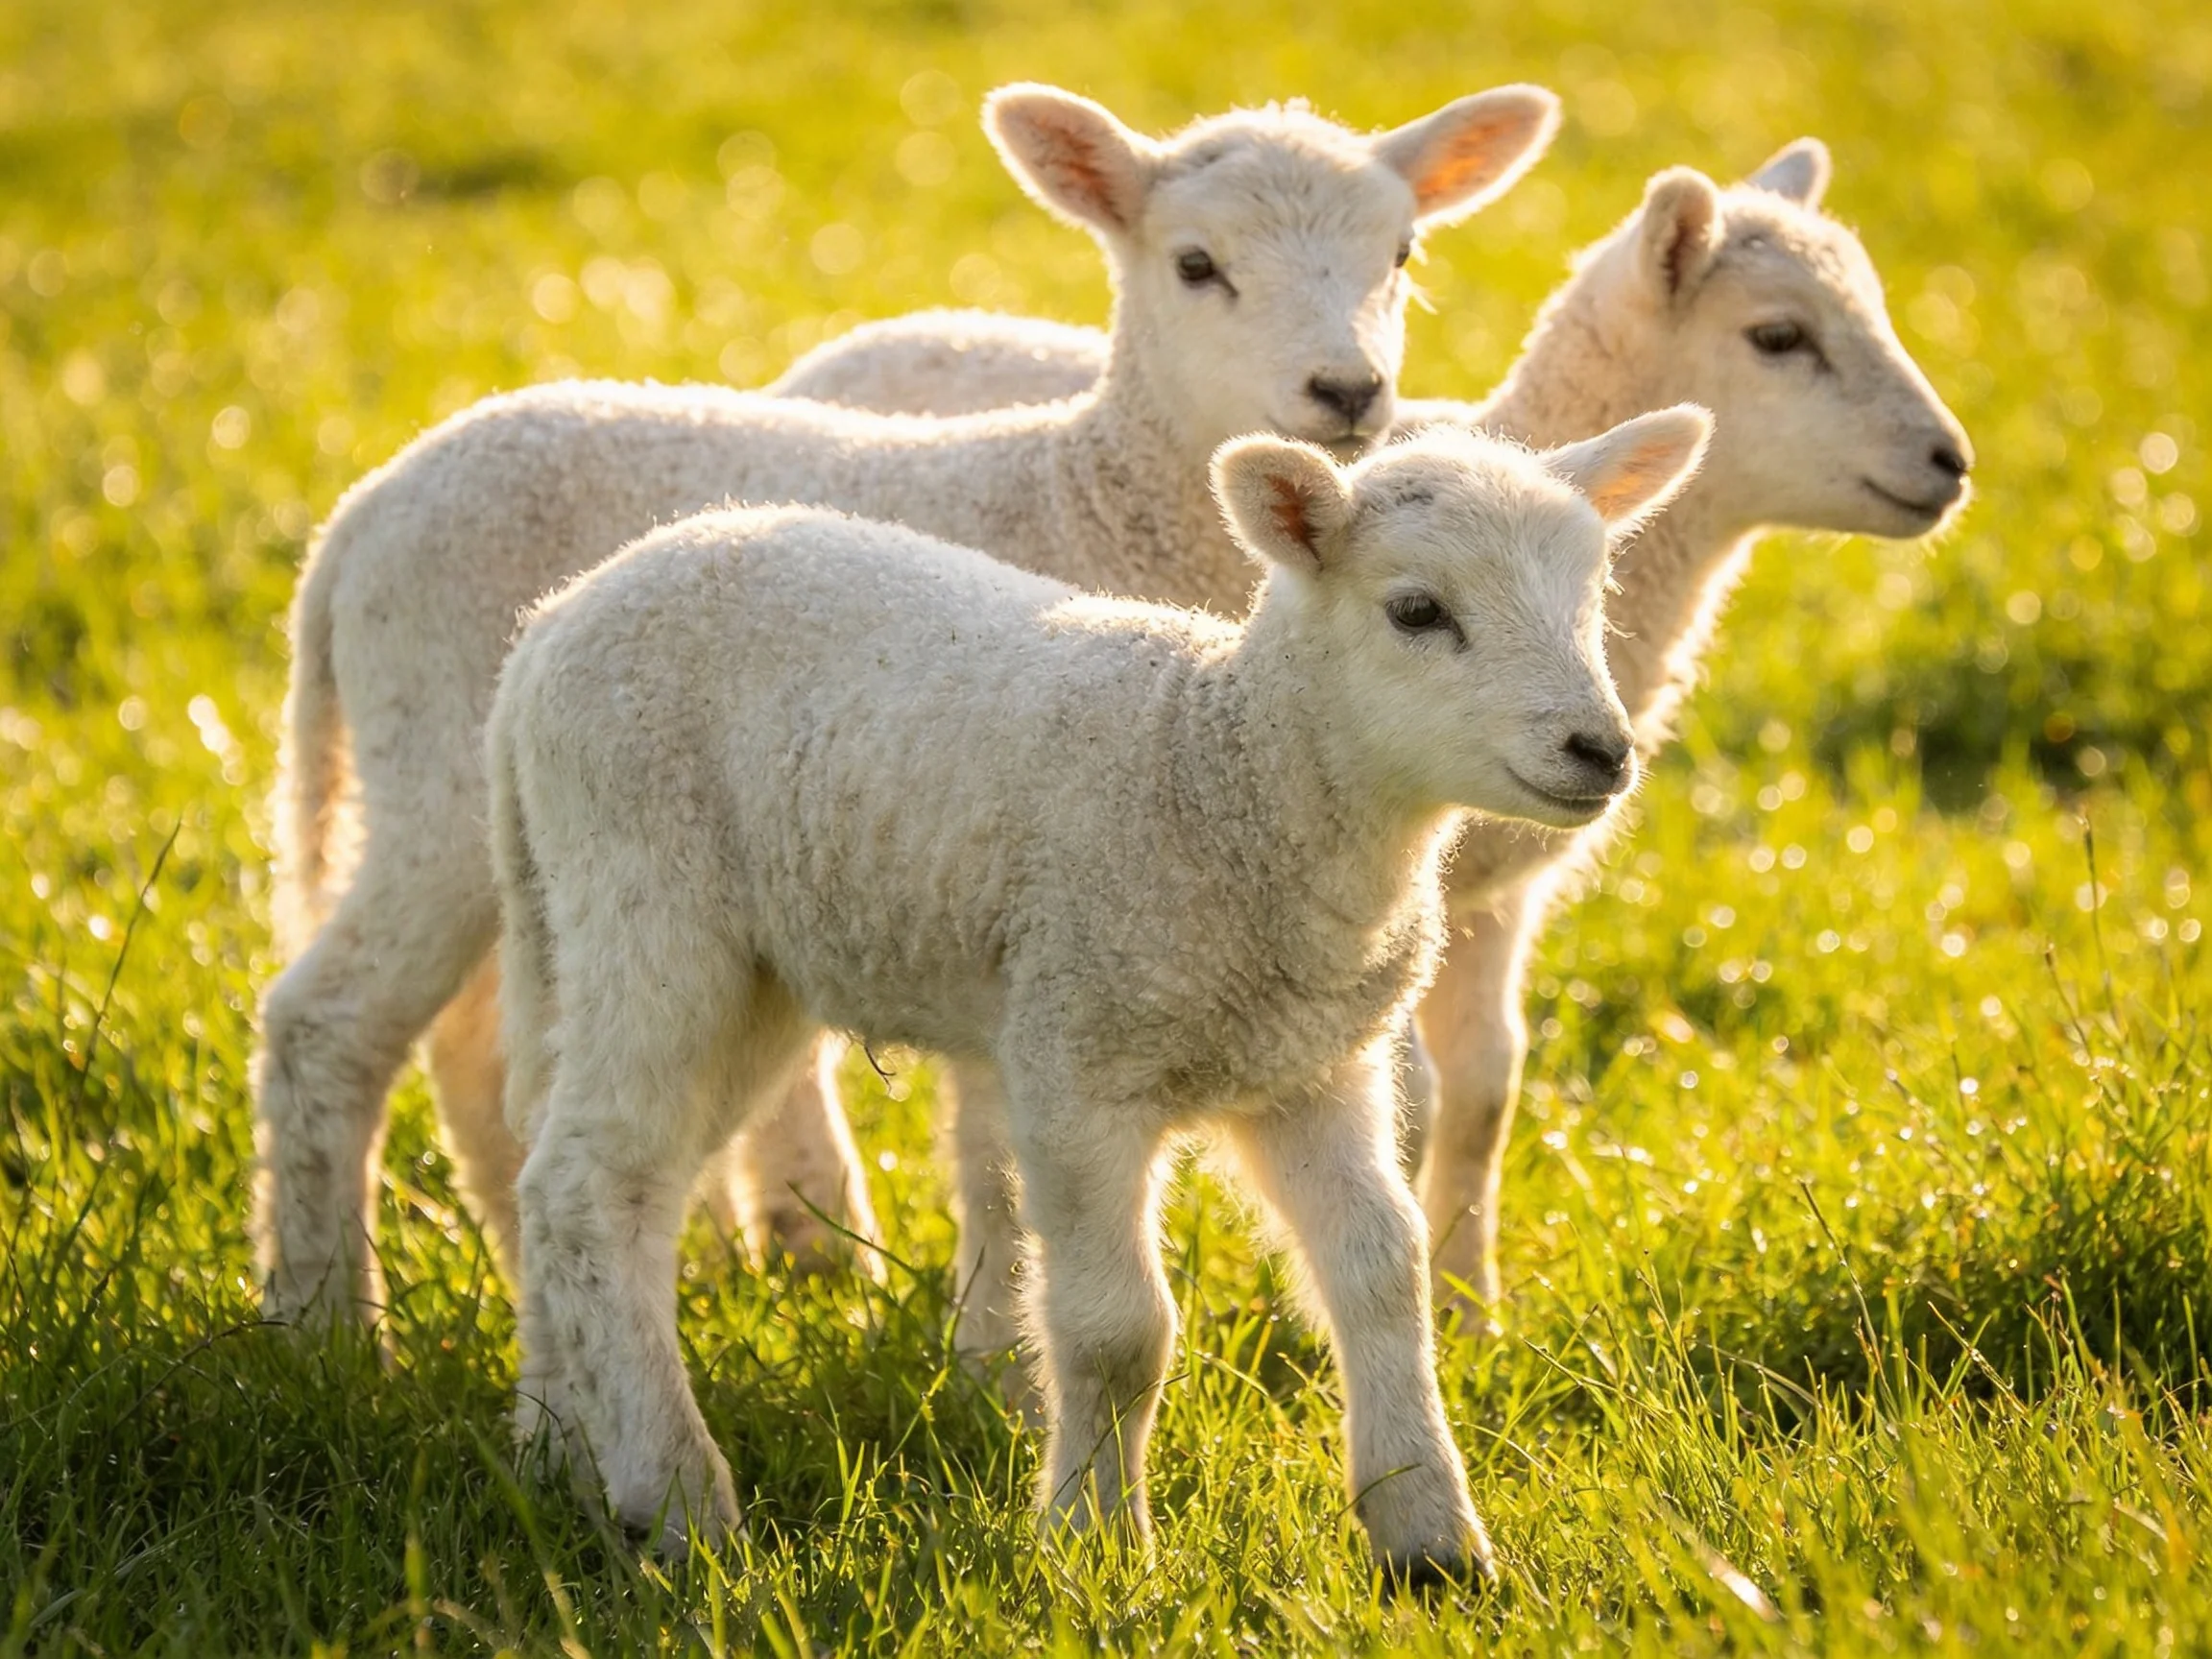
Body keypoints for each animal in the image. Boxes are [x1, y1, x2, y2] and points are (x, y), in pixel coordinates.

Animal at [252, 79, 1564, 1327]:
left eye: (1402, 253)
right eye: (1197, 264)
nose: (1347, 391)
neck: (1096, 493)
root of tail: (358, 514)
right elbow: (1003, 1147)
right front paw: (998, 1349)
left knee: (474, 1047)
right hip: (435, 766)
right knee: (328, 1025)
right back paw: (325, 1327)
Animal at [487, 412, 1712, 1570]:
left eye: (1593, 595)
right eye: (1416, 611)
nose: (1600, 751)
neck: (1222, 769)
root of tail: (550, 628)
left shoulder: (1315, 1069)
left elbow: (1382, 1273)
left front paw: (1429, 1539)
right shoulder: (1079, 1058)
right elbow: (1121, 1330)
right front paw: (1097, 1545)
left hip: (724, 964)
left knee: (563, 1174)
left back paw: (555, 1445)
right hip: (653, 909)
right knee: (593, 1187)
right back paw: (674, 1498)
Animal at [767, 139, 1974, 1322]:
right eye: (1778, 336)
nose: (1952, 463)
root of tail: (892, 330)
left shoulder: (1486, 892)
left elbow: (1485, 1087)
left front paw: (1473, 1304)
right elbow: (1416, 1098)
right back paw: (813, 1249)